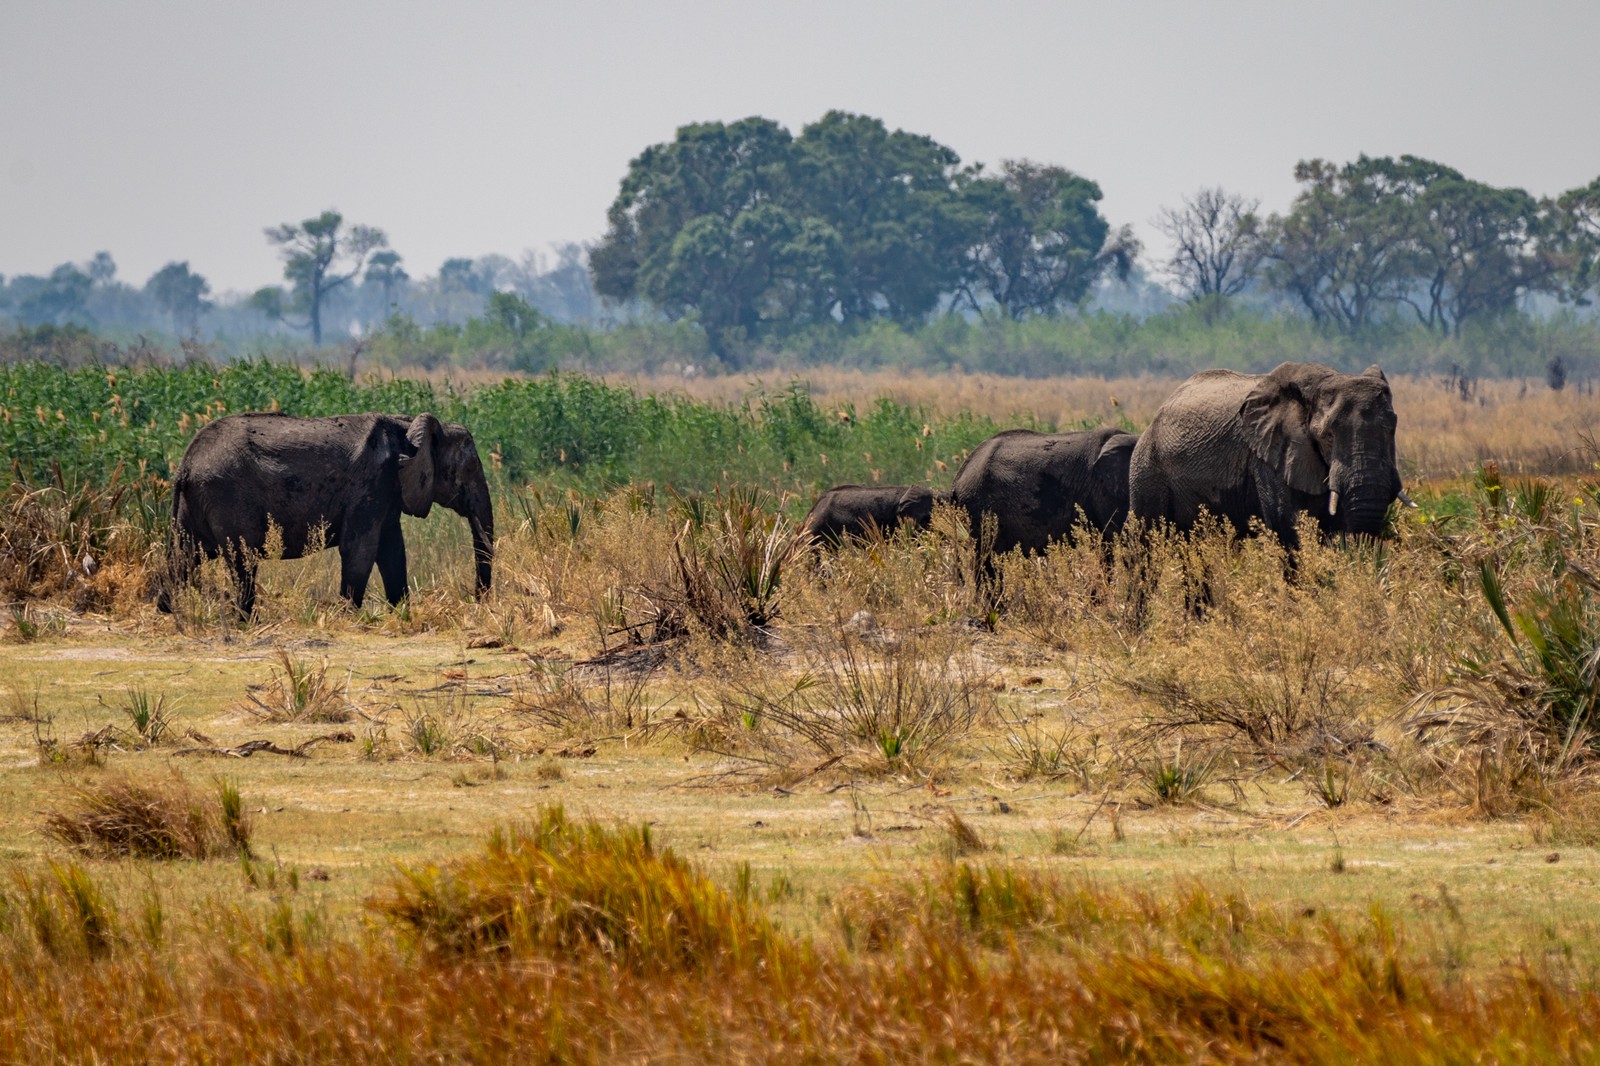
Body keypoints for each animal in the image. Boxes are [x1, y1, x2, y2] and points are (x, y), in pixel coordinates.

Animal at [160, 409, 492, 617]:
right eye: (470, 469)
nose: (479, 602)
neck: (407, 424)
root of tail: (185, 466)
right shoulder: (371, 483)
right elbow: (361, 549)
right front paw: (348, 616)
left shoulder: (388, 490)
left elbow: (392, 551)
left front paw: (401, 611)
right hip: (227, 495)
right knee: (241, 560)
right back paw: (245, 620)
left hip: (193, 504)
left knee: (182, 557)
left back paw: (168, 611)